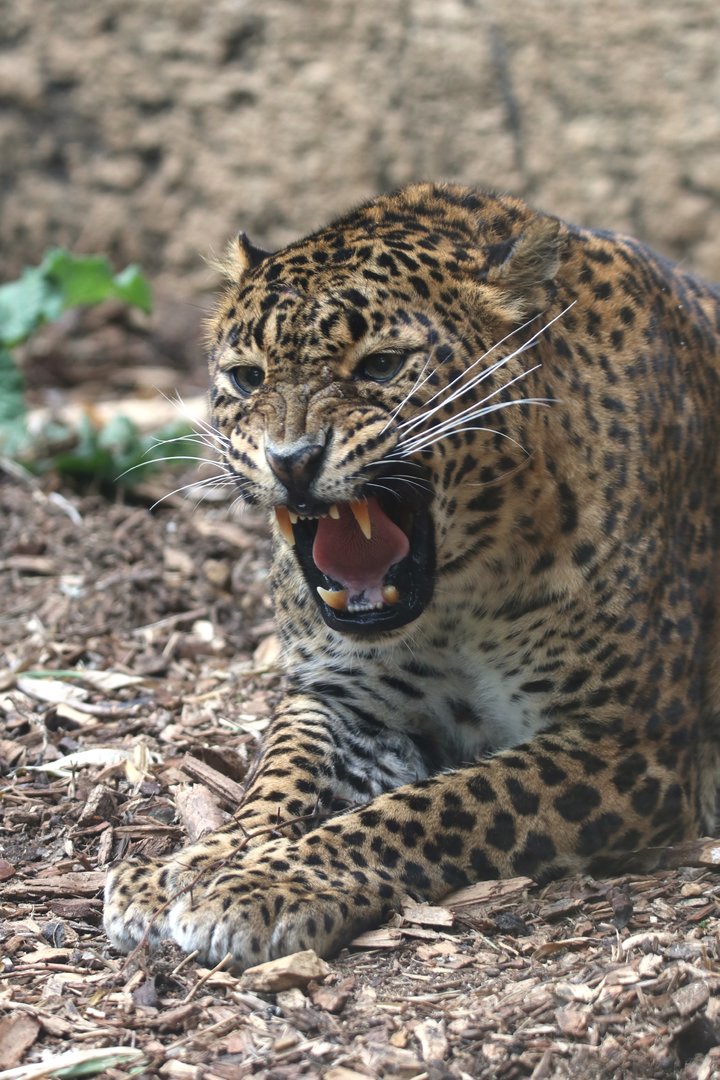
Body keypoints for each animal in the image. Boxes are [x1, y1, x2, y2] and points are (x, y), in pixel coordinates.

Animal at [104, 182, 720, 969]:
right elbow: (280, 779)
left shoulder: (623, 740)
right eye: (247, 377)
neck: (458, 600)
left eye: (381, 367)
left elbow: (441, 805)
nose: (291, 461)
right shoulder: (346, 700)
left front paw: (273, 882)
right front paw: (194, 865)